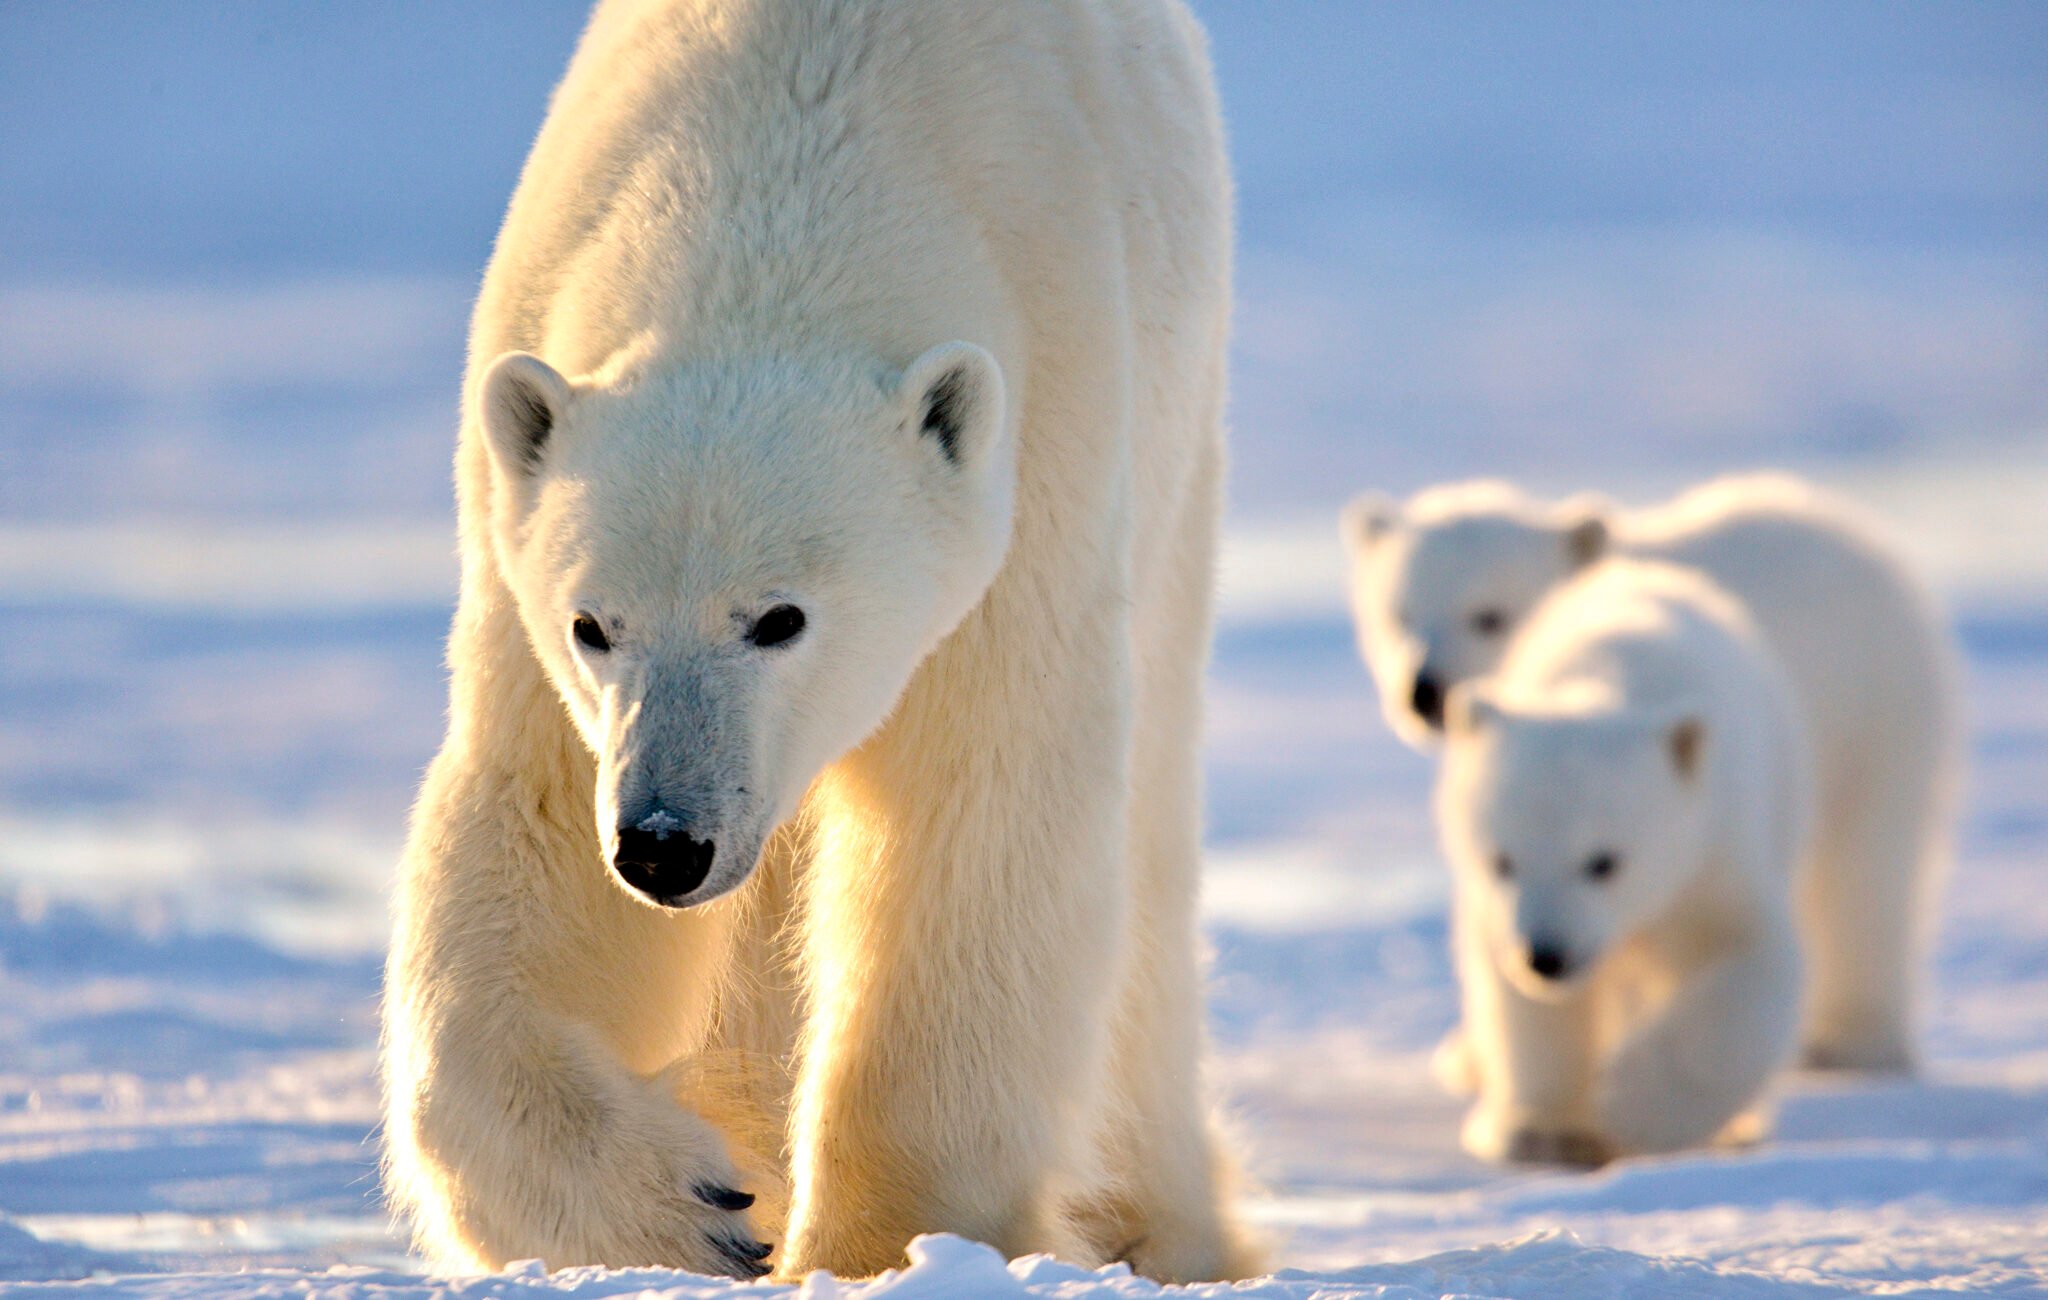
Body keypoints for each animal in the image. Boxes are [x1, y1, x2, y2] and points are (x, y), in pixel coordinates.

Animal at [382, 0, 1245, 1285]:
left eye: (779, 617)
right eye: (593, 624)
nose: (665, 844)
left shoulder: (1044, 453)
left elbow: (974, 825)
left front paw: (885, 1244)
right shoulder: (520, 560)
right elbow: (532, 824)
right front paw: (692, 1206)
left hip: (1175, 454)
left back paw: (1161, 1226)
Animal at [1343, 472, 1949, 1072]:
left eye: (1489, 614)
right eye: (1400, 615)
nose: (1424, 691)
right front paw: (1470, 1058)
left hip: (1877, 719)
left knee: (1865, 875)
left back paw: (1855, 1042)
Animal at [1441, 560, 1810, 1162]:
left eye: (1603, 862)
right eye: (1502, 861)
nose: (1545, 956)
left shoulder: (1714, 853)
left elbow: (1749, 966)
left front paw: (1634, 1103)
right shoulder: (1493, 912)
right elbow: (1526, 1009)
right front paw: (1542, 1132)